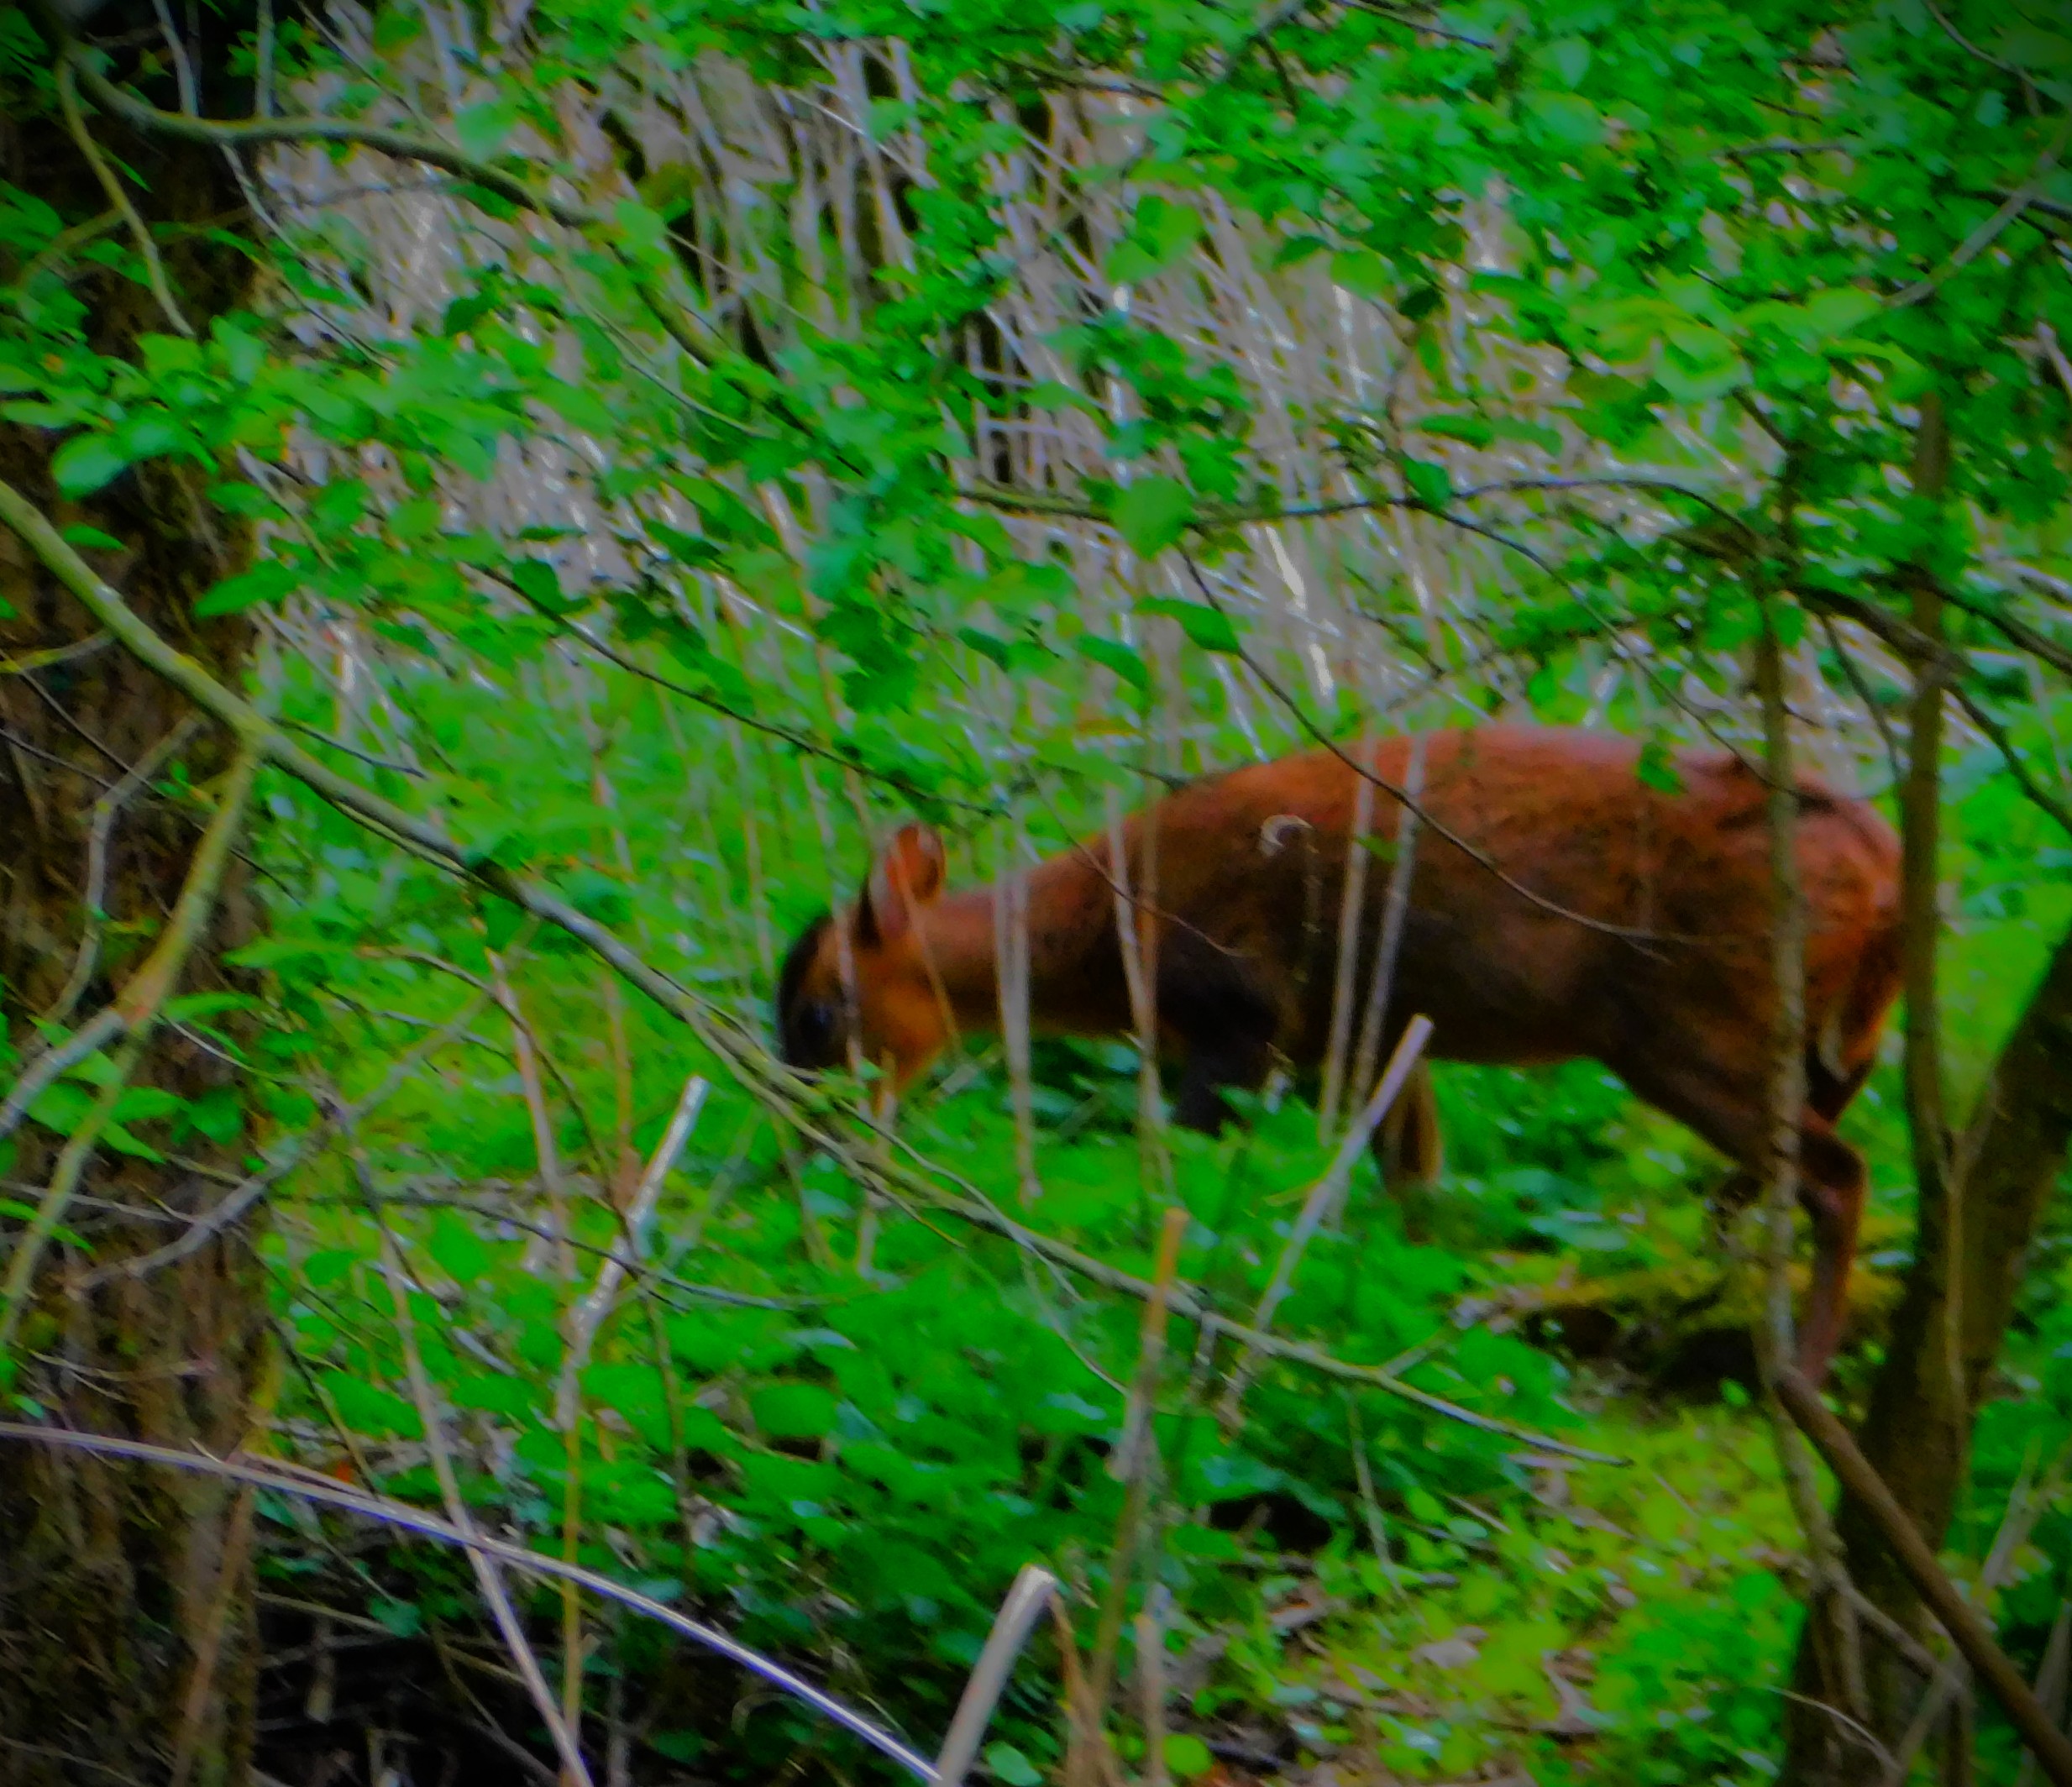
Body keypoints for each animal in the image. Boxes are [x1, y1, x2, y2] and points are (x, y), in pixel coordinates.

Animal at [776, 727, 1903, 1383]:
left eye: (819, 1011)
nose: (799, 1124)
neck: (1106, 934)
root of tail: (1885, 859)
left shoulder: (1236, 1018)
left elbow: (1195, 1177)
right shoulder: (1368, 1036)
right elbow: (1414, 1177)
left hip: (1688, 1020)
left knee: (1839, 1171)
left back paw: (1798, 1369)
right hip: (1819, 1033)